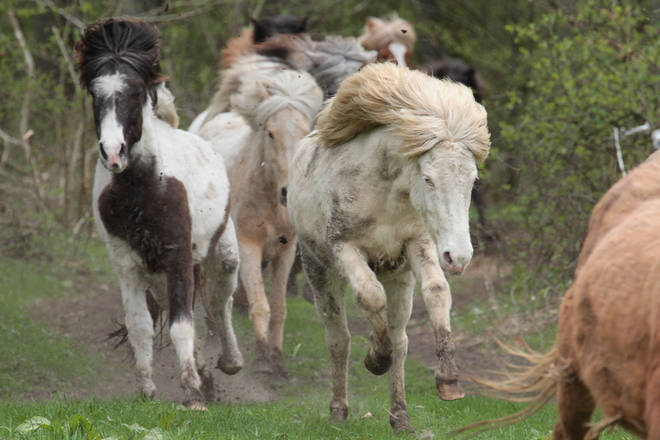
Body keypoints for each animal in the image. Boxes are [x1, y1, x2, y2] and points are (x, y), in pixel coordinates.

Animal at [77, 17, 242, 410]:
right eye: (95, 94)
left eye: (136, 92)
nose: (113, 152)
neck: (144, 188)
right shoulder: (126, 262)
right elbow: (140, 325)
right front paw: (148, 391)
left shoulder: (178, 253)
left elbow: (183, 324)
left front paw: (193, 395)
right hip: (157, 274)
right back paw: (205, 374)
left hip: (220, 255)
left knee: (219, 305)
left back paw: (229, 363)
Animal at [192, 53, 324, 372]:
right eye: (271, 133)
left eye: (305, 133)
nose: (289, 192)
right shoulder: (248, 246)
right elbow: (260, 304)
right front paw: (263, 357)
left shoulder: (286, 251)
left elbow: (278, 306)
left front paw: (277, 359)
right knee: (209, 291)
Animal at [288, 62, 490, 434]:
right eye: (428, 178)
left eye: (472, 180)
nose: (459, 257)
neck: (384, 192)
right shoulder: (345, 249)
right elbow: (370, 297)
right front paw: (375, 358)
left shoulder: (418, 245)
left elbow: (437, 291)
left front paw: (449, 380)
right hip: (318, 271)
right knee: (338, 338)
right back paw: (338, 411)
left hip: (399, 277)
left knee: (400, 339)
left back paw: (401, 417)